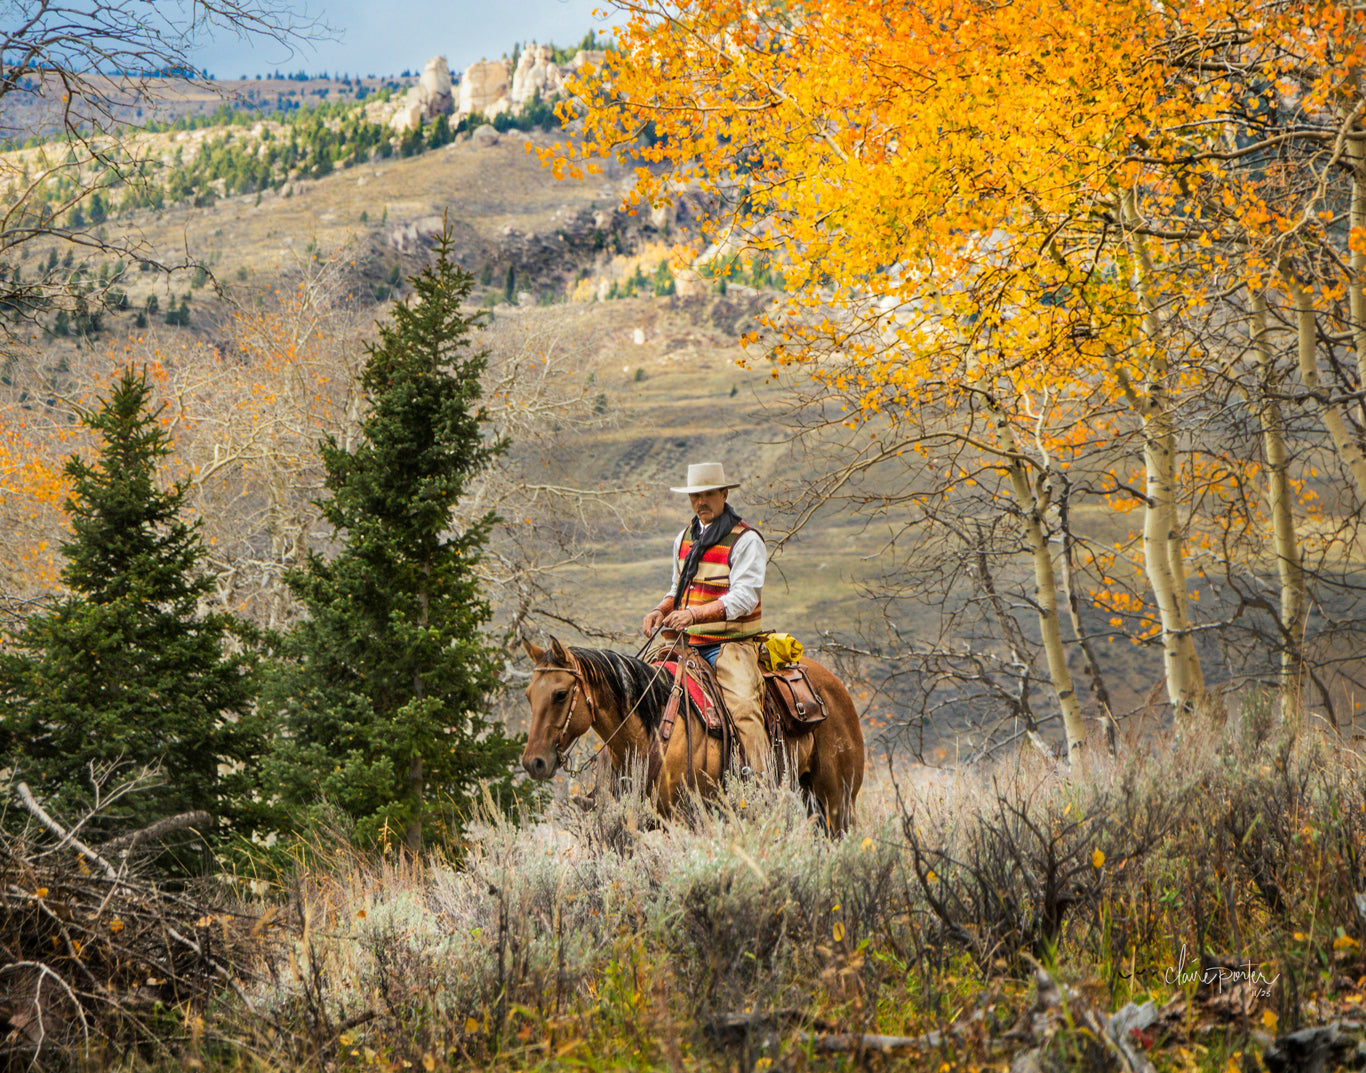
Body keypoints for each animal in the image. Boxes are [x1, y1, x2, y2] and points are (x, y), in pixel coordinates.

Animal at [521, 638, 863, 830]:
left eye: (560, 694)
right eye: (528, 695)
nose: (533, 762)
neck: (653, 729)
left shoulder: (689, 819)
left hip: (838, 801)